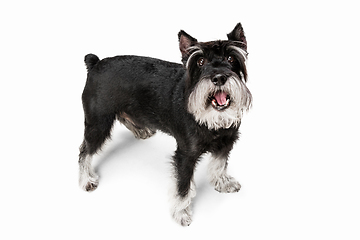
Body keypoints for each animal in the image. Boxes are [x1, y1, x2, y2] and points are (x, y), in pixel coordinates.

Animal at [79, 21, 253, 226]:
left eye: (231, 58)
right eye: (200, 62)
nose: (219, 78)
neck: (211, 119)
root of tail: (95, 63)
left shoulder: (226, 142)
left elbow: (219, 164)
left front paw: (223, 182)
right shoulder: (185, 155)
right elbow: (183, 186)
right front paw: (181, 212)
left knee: (122, 116)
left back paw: (141, 130)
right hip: (98, 123)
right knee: (85, 151)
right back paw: (86, 179)